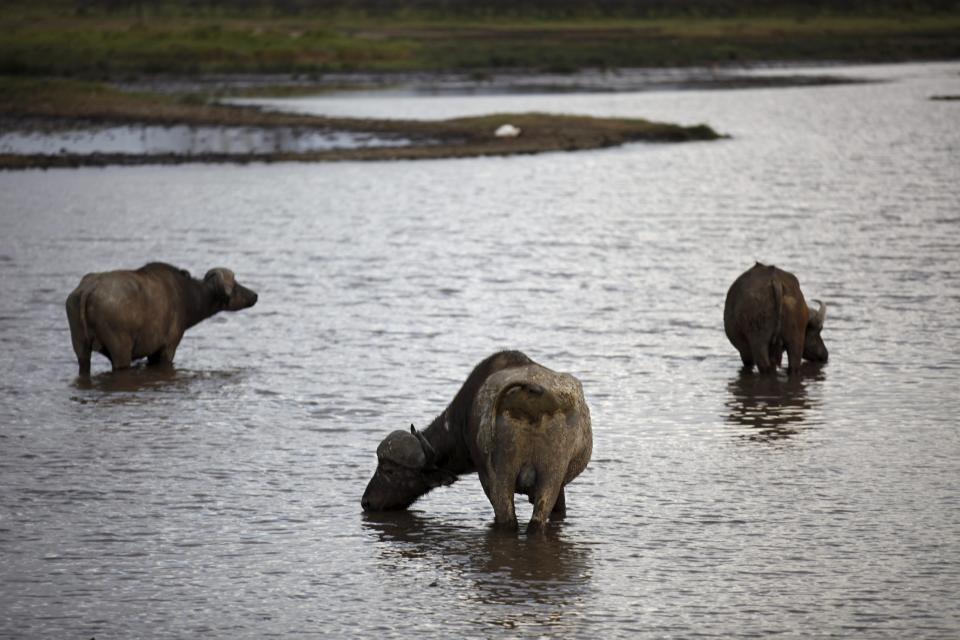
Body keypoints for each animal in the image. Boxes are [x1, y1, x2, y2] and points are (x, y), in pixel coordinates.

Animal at [63, 262, 258, 376]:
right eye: (235, 285)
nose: (254, 295)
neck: (186, 297)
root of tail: (88, 288)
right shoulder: (167, 348)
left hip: (80, 346)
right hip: (120, 350)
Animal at [364, 350, 596, 528]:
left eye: (389, 470)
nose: (366, 501)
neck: (463, 418)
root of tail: (533, 402)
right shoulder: (561, 489)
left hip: (500, 479)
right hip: (551, 477)